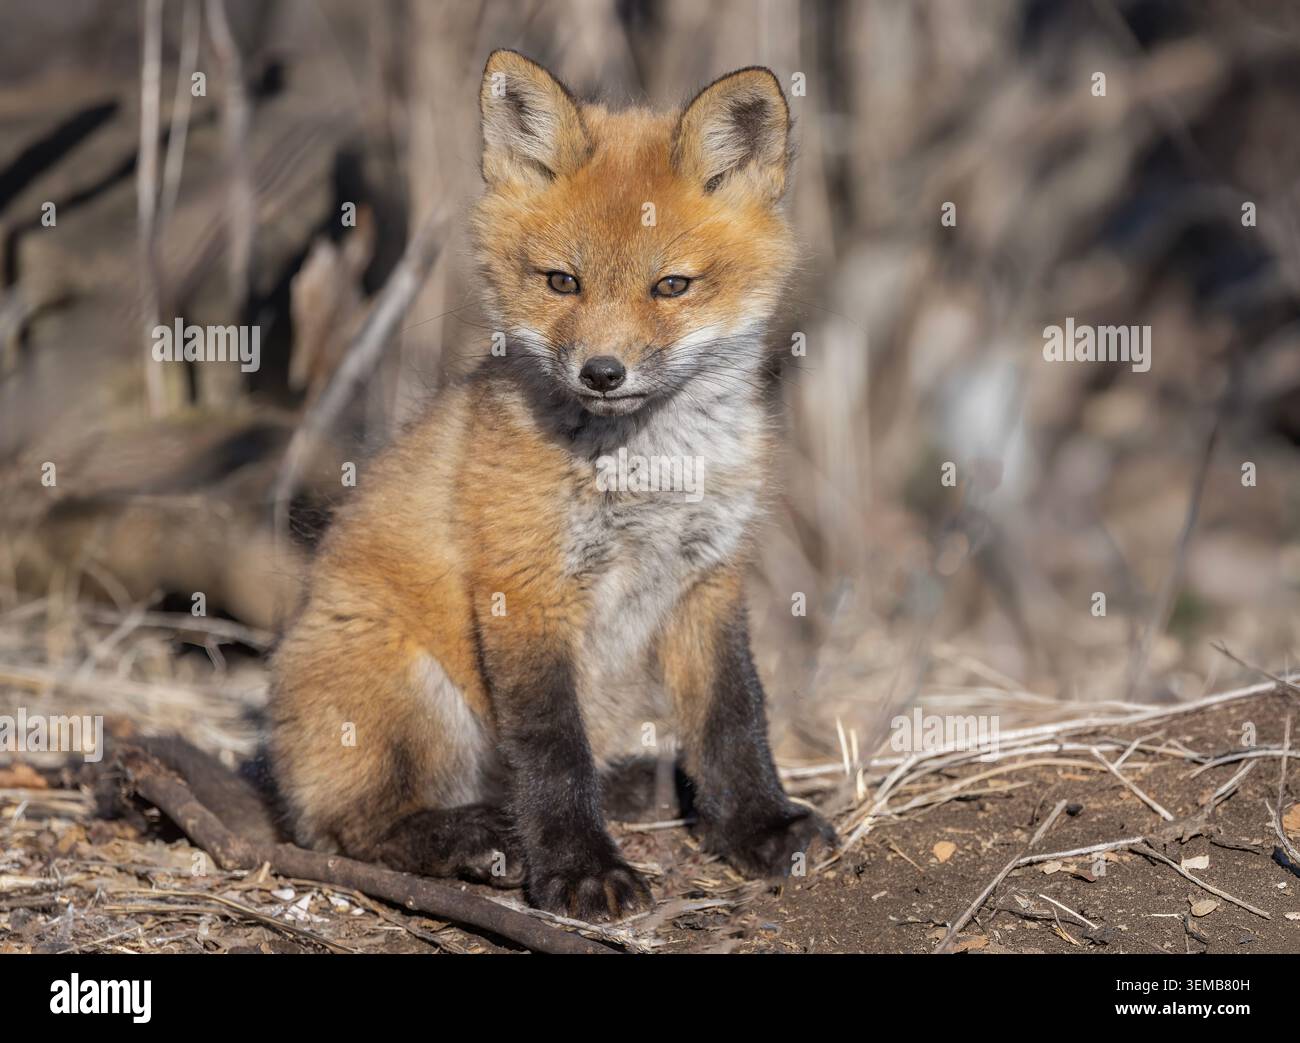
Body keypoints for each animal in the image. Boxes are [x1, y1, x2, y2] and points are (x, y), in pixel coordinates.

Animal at [269, 49, 836, 921]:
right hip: (408, 687)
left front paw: (757, 825)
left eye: (671, 286)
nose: (602, 372)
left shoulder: (708, 578)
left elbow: (735, 716)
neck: (649, 470)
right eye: (562, 282)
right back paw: (472, 836)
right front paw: (579, 869)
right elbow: (551, 749)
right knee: (344, 824)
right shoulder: (525, 586)